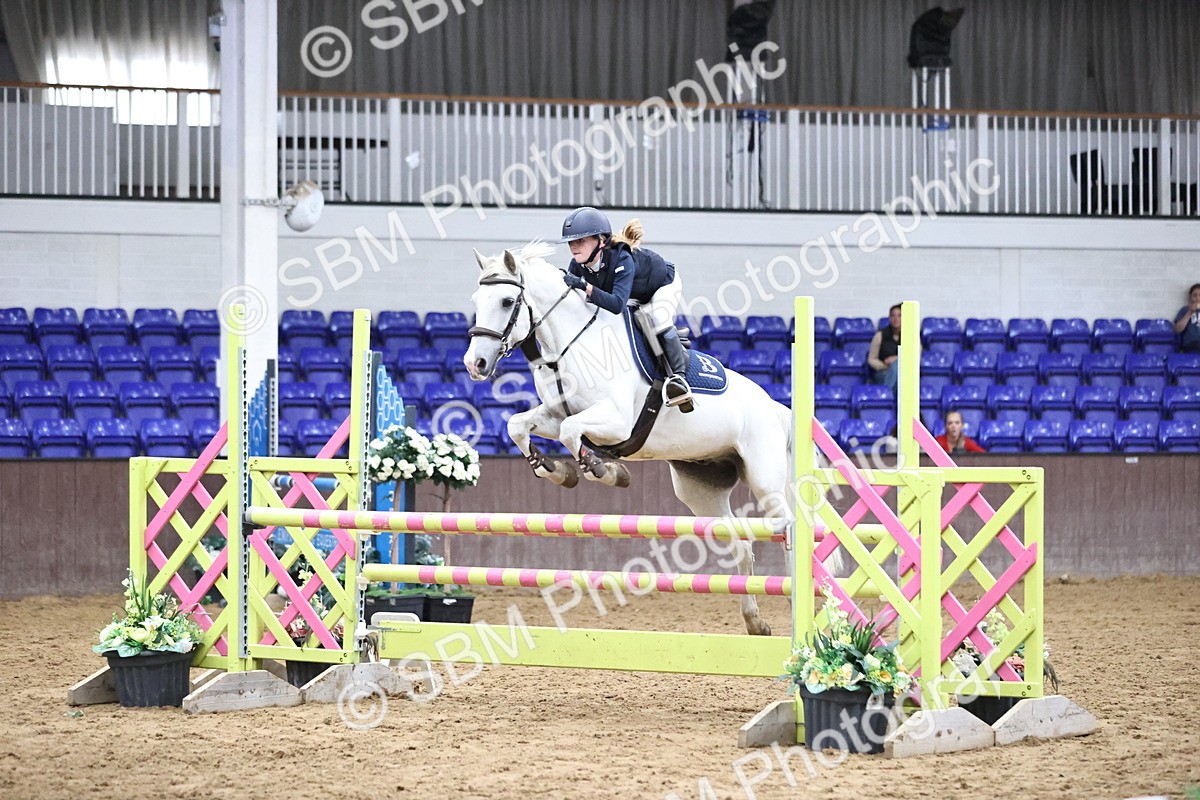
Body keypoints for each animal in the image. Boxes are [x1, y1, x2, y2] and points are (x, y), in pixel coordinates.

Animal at [463, 242, 797, 636]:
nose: (474, 364)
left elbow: (571, 432)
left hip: (765, 479)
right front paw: (556, 470)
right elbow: (520, 426)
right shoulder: (555, 414)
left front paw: (604, 471)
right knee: (741, 545)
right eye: (476, 299)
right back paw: (755, 622)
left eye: (504, 301)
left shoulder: (617, 422)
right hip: (701, 490)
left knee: (790, 529)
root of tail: (773, 406)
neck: (572, 344)